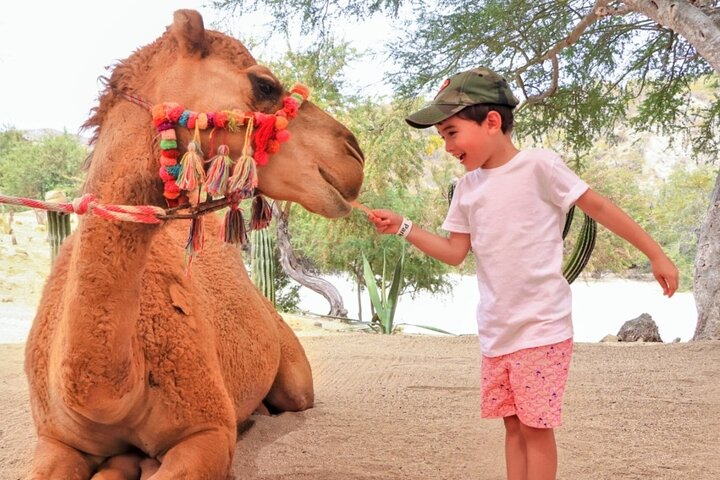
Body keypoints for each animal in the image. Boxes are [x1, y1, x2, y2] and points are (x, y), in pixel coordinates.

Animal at [24, 8, 362, 480]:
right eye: (265, 85)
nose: (354, 157)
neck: (106, 394)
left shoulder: (208, 430)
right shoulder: (54, 439)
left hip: (294, 374)